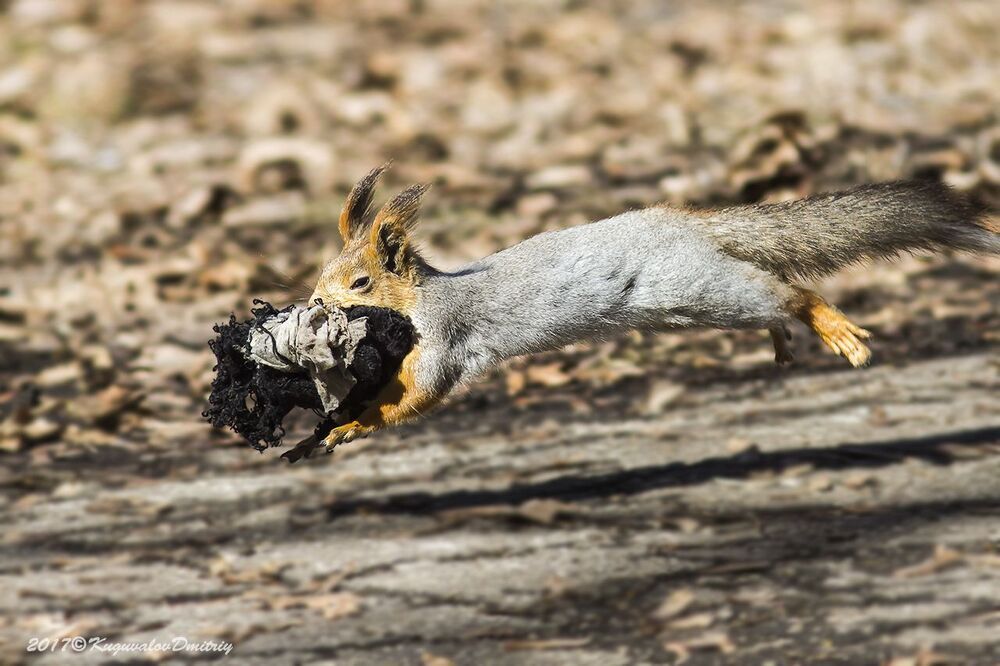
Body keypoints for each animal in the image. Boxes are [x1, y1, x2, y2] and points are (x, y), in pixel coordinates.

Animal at [302, 164, 997, 454]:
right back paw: (783, 341)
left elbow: (418, 393)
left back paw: (834, 328)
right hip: (700, 303)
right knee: (771, 298)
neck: (425, 295)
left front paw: (353, 425)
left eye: (360, 282)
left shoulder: (445, 338)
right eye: (321, 274)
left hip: (697, 287)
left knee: (790, 293)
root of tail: (689, 223)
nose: (312, 304)